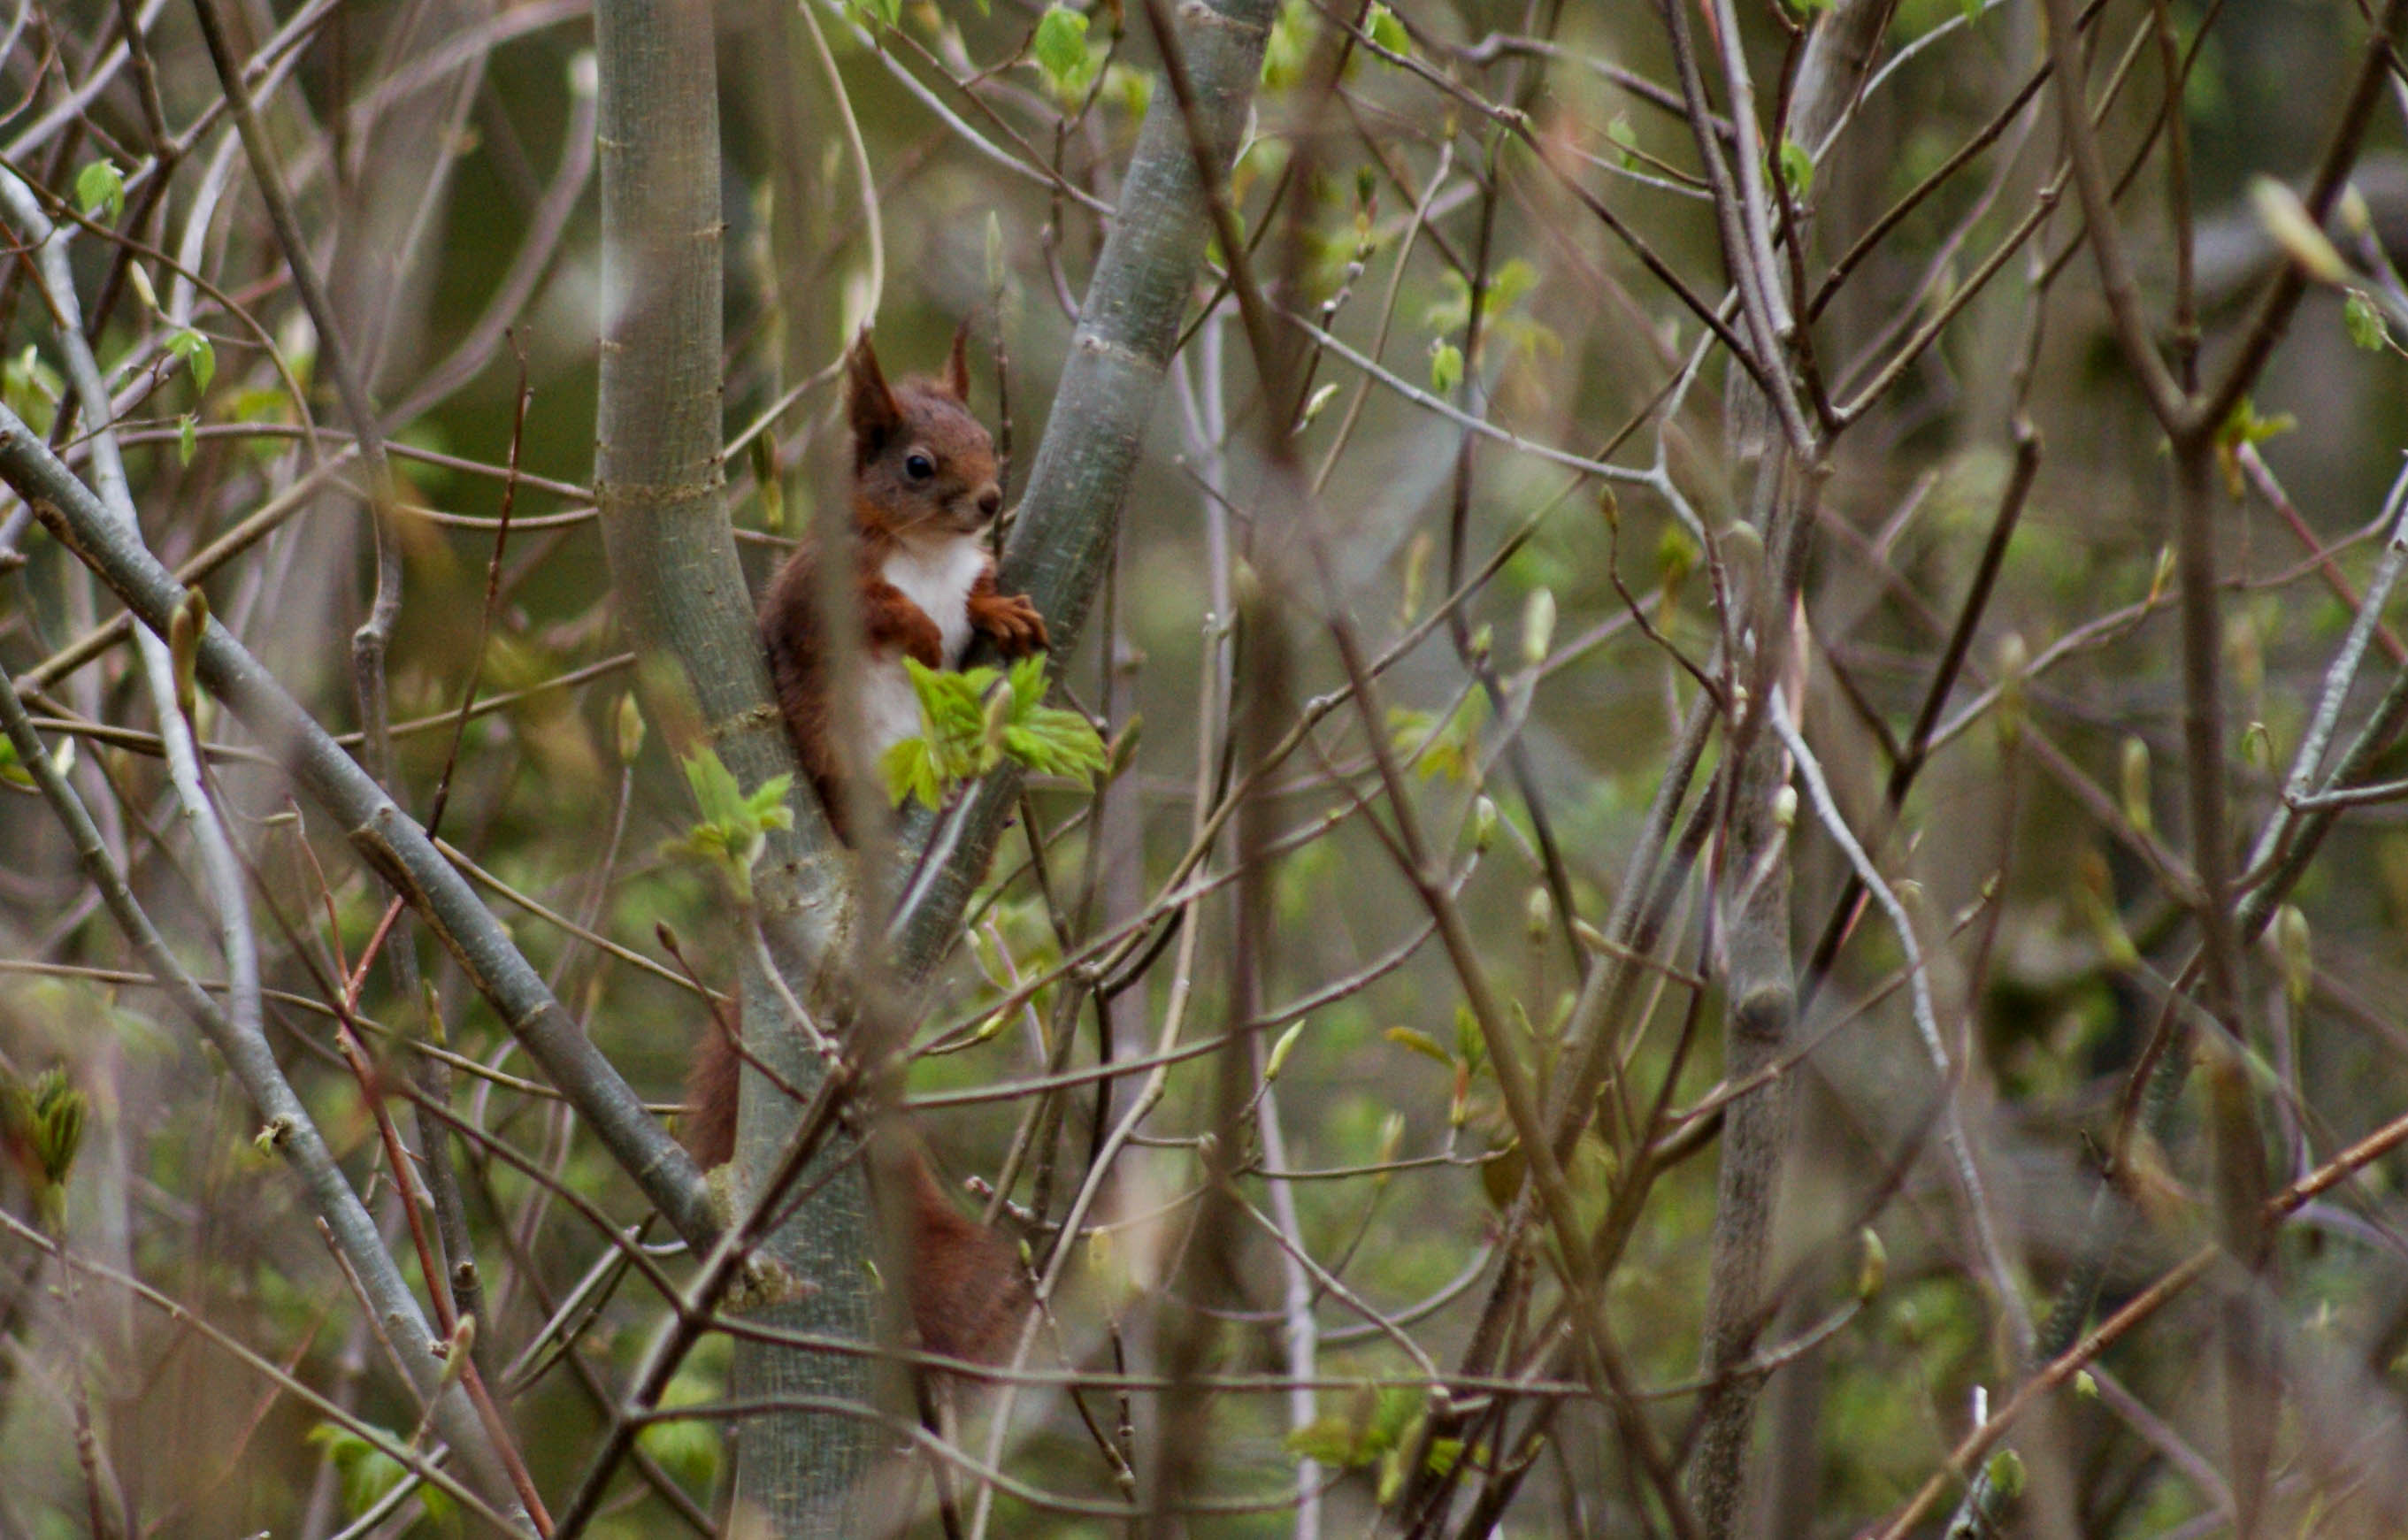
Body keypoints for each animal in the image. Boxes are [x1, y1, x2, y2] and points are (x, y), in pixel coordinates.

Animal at [688, 332, 1045, 1367]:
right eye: (917, 464)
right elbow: (878, 611)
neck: (925, 551)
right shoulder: (824, 593)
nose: (989, 500)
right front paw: (921, 627)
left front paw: (999, 611)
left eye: (985, 436)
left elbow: (975, 596)